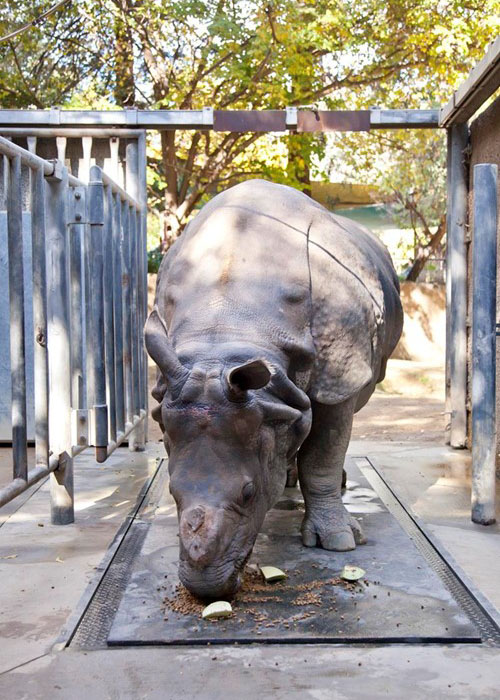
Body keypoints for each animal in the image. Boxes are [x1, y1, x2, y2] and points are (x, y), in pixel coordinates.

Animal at [145, 179, 403, 599]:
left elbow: (325, 451)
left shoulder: (340, 377)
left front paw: (338, 541)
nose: (205, 588)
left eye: (249, 494)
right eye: (172, 493)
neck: (227, 335)